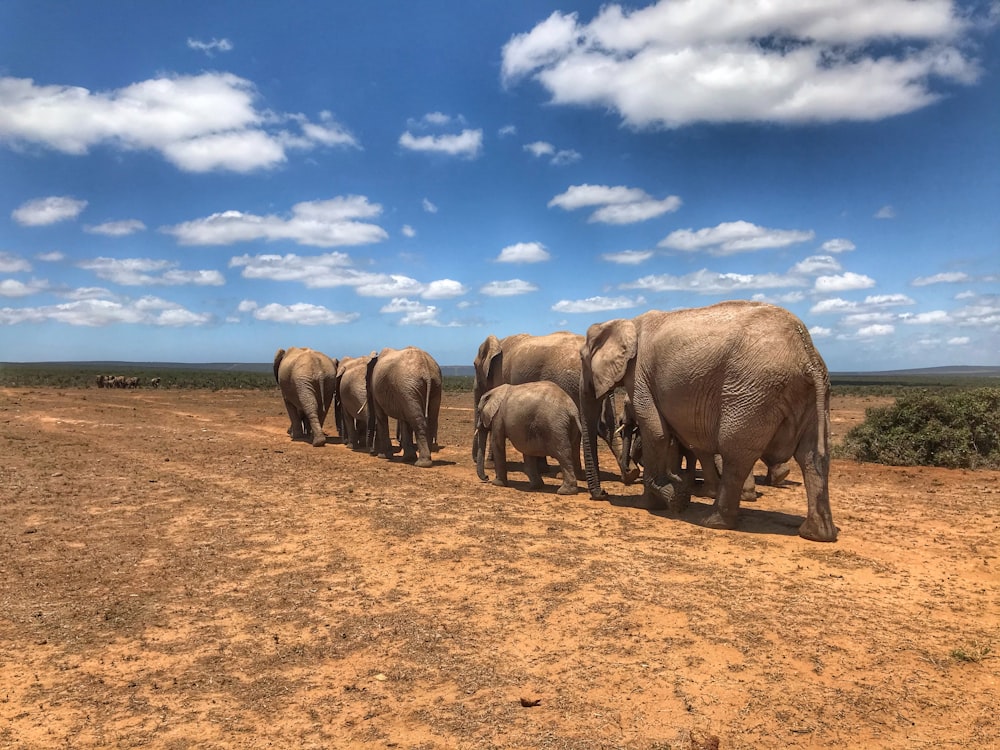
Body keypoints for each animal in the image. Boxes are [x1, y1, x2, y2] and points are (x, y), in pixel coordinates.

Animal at [472, 334, 620, 476]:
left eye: (474, 365)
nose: (486, 476)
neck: (499, 341)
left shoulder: (500, 375)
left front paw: (490, 466)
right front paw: (542, 468)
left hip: (569, 383)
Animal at [580, 302, 836, 544]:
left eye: (582, 358)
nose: (603, 494)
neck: (625, 322)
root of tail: (807, 354)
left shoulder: (640, 375)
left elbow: (657, 433)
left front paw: (662, 501)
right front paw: (670, 497)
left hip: (753, 391)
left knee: (736, 453)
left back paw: (713, 521)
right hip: (811, 394)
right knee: (813, 457)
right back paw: (817, 535)